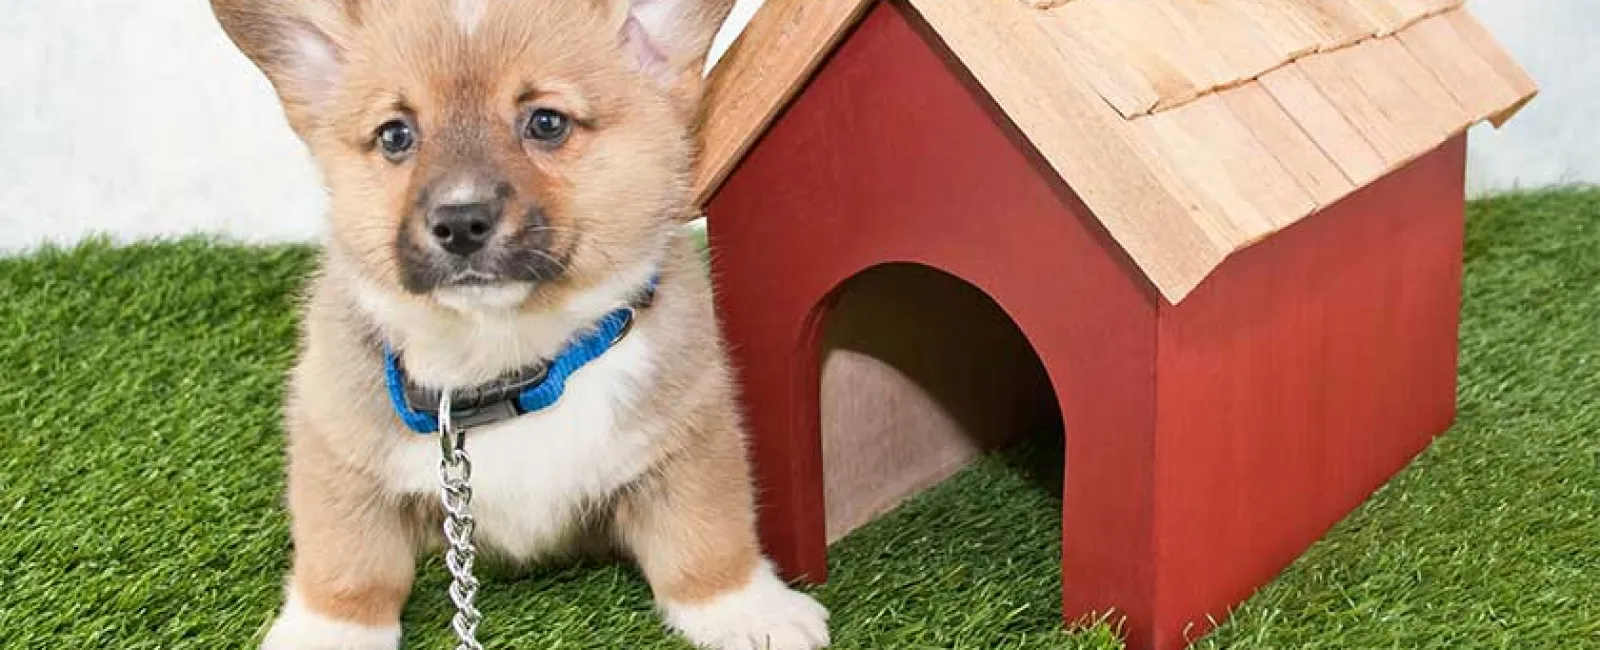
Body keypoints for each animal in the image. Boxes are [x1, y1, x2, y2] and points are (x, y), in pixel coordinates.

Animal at [208, 1, 832, 650]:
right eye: (396, 135)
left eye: (547, 123)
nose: (460, 223)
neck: (504, 356)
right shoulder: (337, 451)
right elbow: (349, 561)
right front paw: (331, 631)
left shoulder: (690, 437)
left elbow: (708, 536)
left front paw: (751, 611)